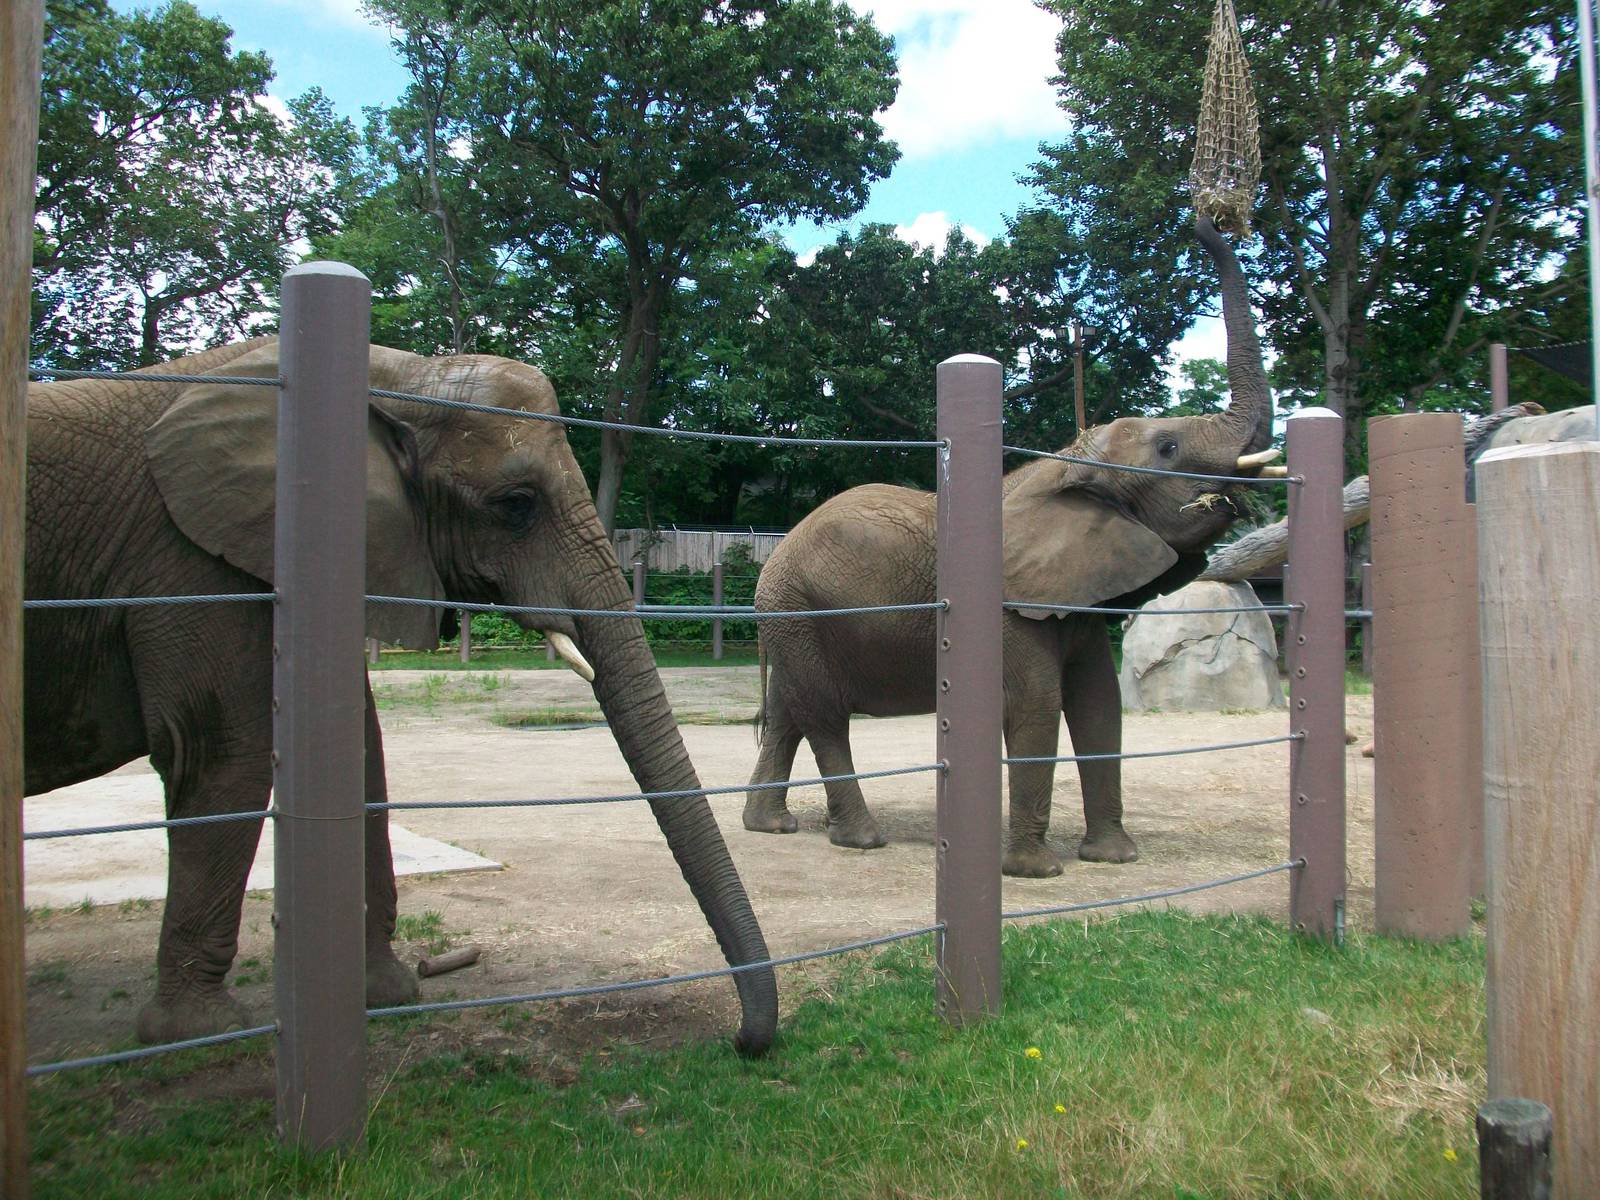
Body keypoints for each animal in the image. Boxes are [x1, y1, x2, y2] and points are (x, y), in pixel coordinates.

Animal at [24, 338, 777, 1054]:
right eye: (517, 505)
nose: (743, 1041)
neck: (399, 374)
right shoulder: (191, 560)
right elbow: (219, 751)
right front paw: (198, 1031)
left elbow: (359, 750)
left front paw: (381, 997)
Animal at [744, 217, 1279, 878]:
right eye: (1169, 448)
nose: (1204, 219)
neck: (1069, 461)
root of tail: (774, 557)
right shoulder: (1009, 603)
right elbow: (1037, 704)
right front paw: (1036, 871)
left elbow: (1100, 706)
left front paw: (1115, 860)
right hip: (799, 610)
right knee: (823, 715)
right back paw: (862, 839)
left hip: (796, 616)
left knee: (788, 709)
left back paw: (771, 826)